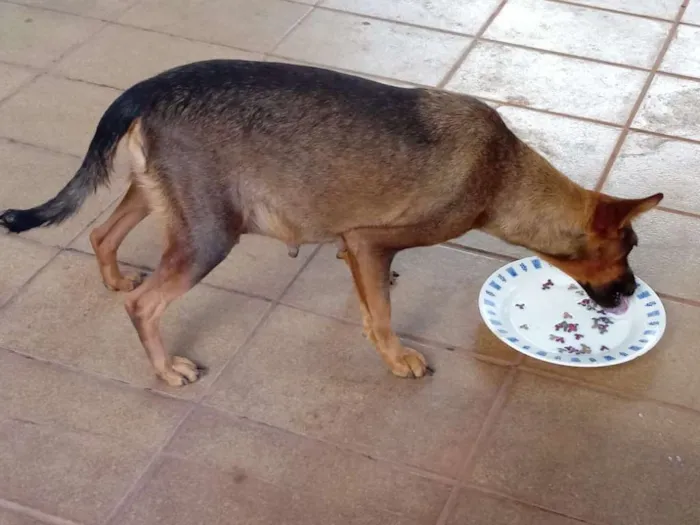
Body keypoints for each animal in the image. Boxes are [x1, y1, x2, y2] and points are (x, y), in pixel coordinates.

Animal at [0, 60, 664, 384]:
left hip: (156, 195)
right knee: (145, 306)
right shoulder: (371, 239)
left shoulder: (356, 244)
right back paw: (165, 368)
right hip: (210, 234)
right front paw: (396, 359)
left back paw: (113, 277)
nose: (633, 294)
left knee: (99, 233)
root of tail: (147, 89)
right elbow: (383, 317)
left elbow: (369, 294)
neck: (502, 172)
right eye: (627, 252)